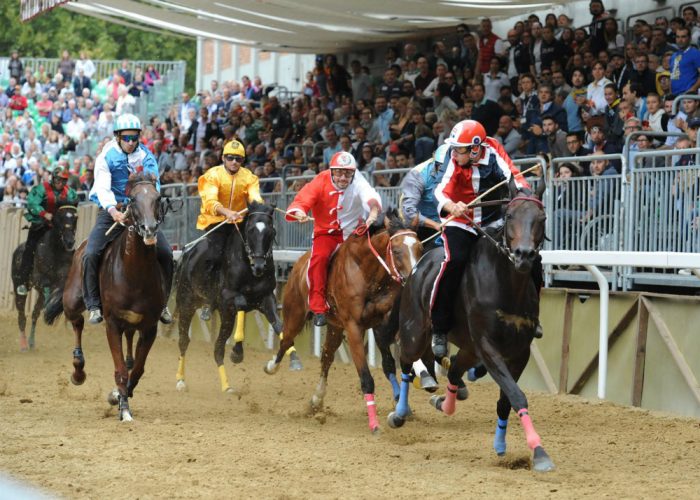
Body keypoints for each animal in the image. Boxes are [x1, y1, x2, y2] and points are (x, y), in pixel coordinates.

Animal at [11, 203, 78, 352]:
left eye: (75, 218)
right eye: (59, 218)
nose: (70, 241)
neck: (55, 251)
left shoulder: (63, 280)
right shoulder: (40, 280)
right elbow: (48, 289)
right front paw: (51, 308)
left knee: (35, 314)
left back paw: (31, 342)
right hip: (19, 286)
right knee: (21, 316)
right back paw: (23, 344)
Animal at [44, 174, 179, 420]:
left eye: (157, 198)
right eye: (132, 199)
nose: (149, 229)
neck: (134, 274)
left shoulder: (149, 327)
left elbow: (137, 369)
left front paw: (118, 396)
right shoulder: (113, 324)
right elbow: (120, 370)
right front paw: (124, 409)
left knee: (129, 350)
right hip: (72, 300)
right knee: (77, 323)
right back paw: (78, 371)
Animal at [174, 201, 300, 392]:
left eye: (271, 231)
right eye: (250, 230)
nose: (259, 265)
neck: (248, 269)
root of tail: (186, 254)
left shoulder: (266, 298)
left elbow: (279, 325)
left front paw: (290, 359)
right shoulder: (228, 298)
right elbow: (240, 303)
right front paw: (237, 352)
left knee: (218, 348)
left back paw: (226, 386)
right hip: (187, 304)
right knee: (185, 341)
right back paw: (183, 380)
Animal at [266, 208, 422, 434]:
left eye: (420, 247)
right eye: (396, 250)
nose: (413, 278)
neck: (365, 271)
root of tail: (300, 264)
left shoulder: (381, 322)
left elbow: (389, 365)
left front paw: (402, 407)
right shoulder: (354, 327)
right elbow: (366, 378)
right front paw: (374, 424)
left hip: (335, 328)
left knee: (326, 357)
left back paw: (316, 399)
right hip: (295, 314)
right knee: (286, 341)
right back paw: (272, 366)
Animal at [386, 180, 556, 472]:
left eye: (542, 218)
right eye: (510, 216)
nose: (523, 255)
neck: (506, 284)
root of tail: (419, 266)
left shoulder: (519, 351)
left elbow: (506, 399)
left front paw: (502, 445)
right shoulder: (488, 346)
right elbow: (517, 395)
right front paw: (539, 452)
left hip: (468, 347)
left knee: (454, 370)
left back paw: (443, 402)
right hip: (415, 331)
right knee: (407, 360)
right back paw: (399, 413)